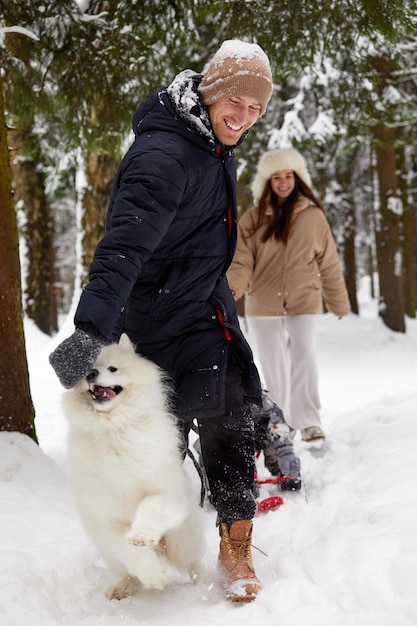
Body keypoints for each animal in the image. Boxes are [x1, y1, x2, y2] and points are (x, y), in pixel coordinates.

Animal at [62, 334, 204, 596]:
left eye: (112, 369)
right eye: (87, 369)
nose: (91, 374)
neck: (114, 427)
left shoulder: (167, 493)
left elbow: (150, 507)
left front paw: (142, 535)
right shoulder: (105, 519)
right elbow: (129, 550)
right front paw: (153, 575)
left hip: (181, 540)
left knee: (192, 561)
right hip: (110, 554)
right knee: (128, 571)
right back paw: (123, 588)